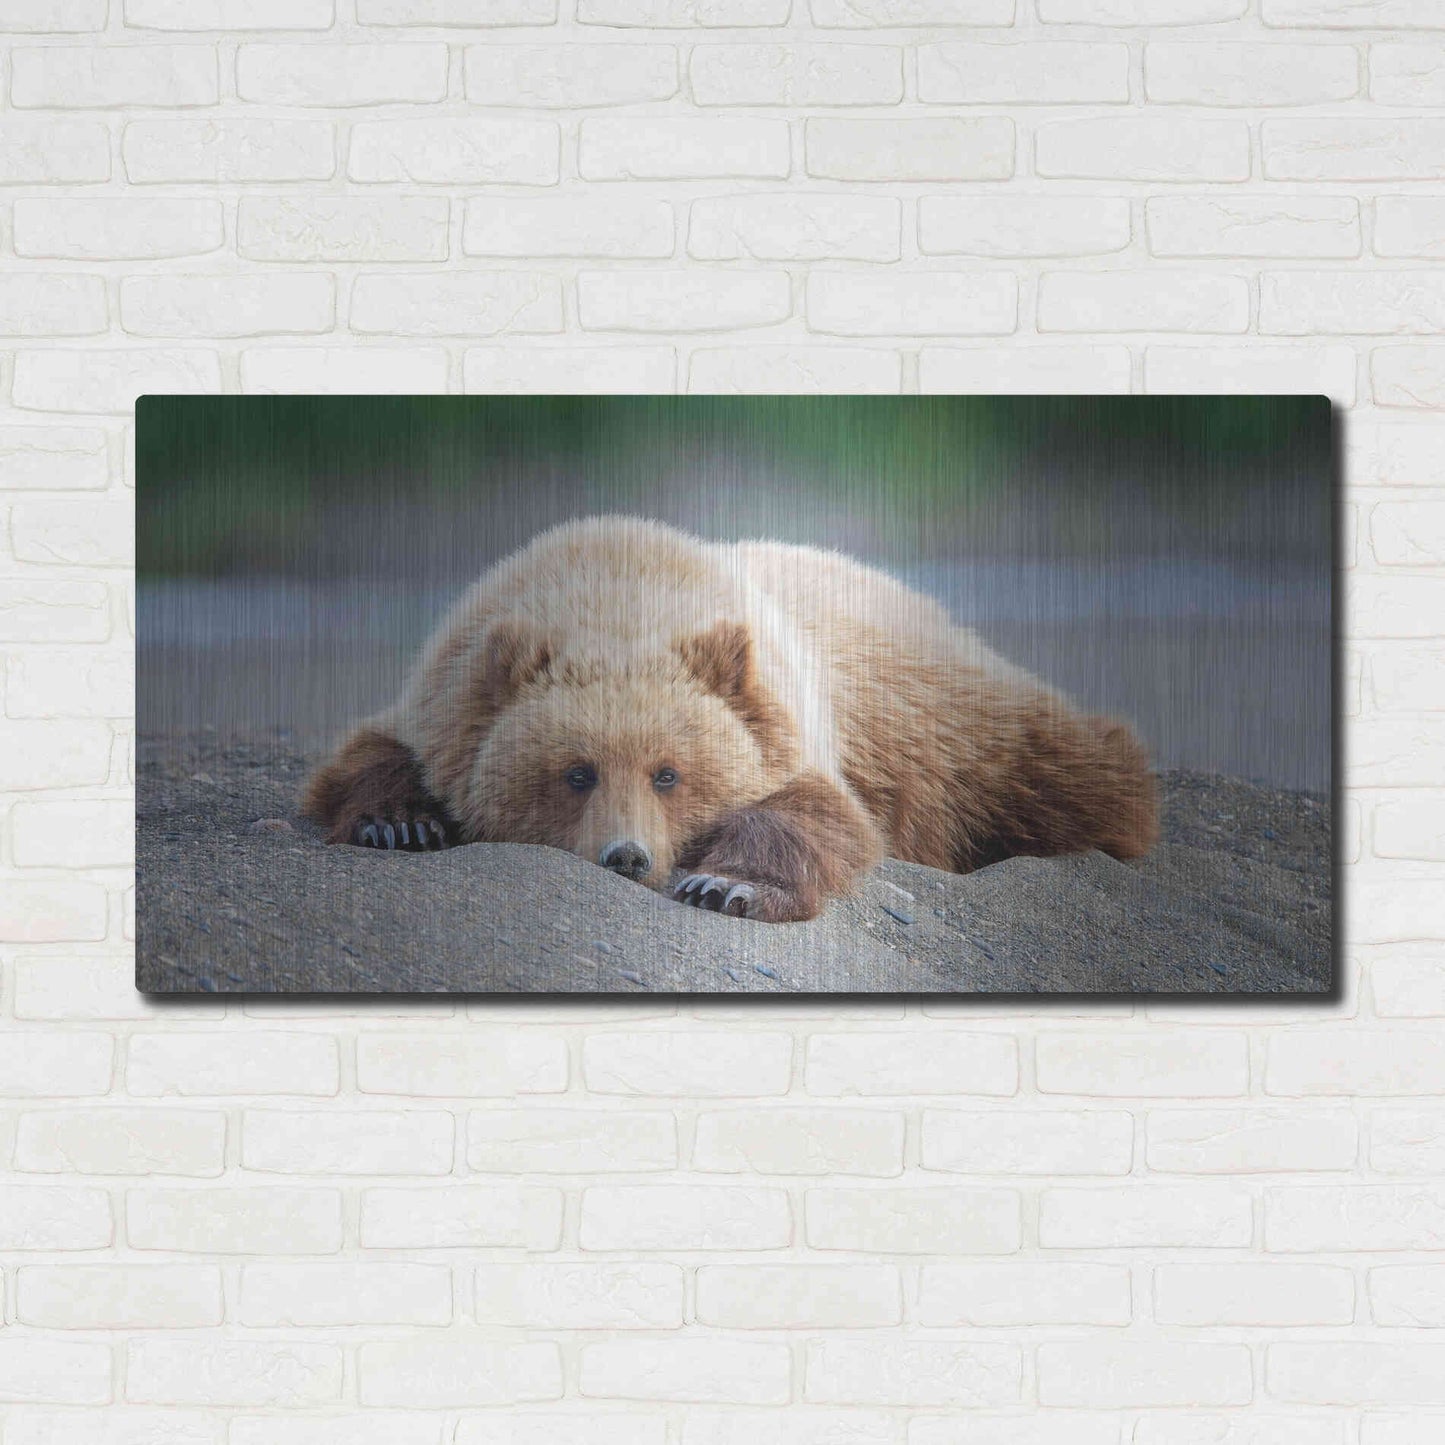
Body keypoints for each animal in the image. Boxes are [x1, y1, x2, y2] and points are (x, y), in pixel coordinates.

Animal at [301, 515, 1158, 924]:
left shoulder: (789, 718)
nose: (626, 856)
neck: (615, 593)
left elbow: (813, 815)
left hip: (947, 722)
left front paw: (724, 884)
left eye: (668, 773)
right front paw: (399, 822)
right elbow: (370, 754)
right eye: (576, 772)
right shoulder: (447, 691)